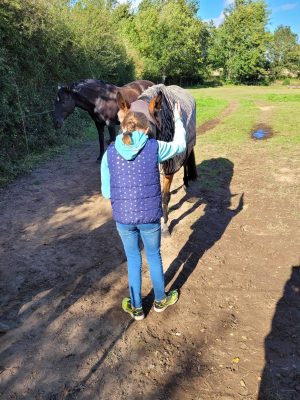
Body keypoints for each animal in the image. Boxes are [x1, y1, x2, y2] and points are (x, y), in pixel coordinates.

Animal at [116, 84, 198, 234]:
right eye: (123, 131)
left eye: (148, 133)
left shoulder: (169, 167)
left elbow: (165, 197)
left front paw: (164, 225)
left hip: (188, 146)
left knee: (186, 161)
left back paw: (186, 184)